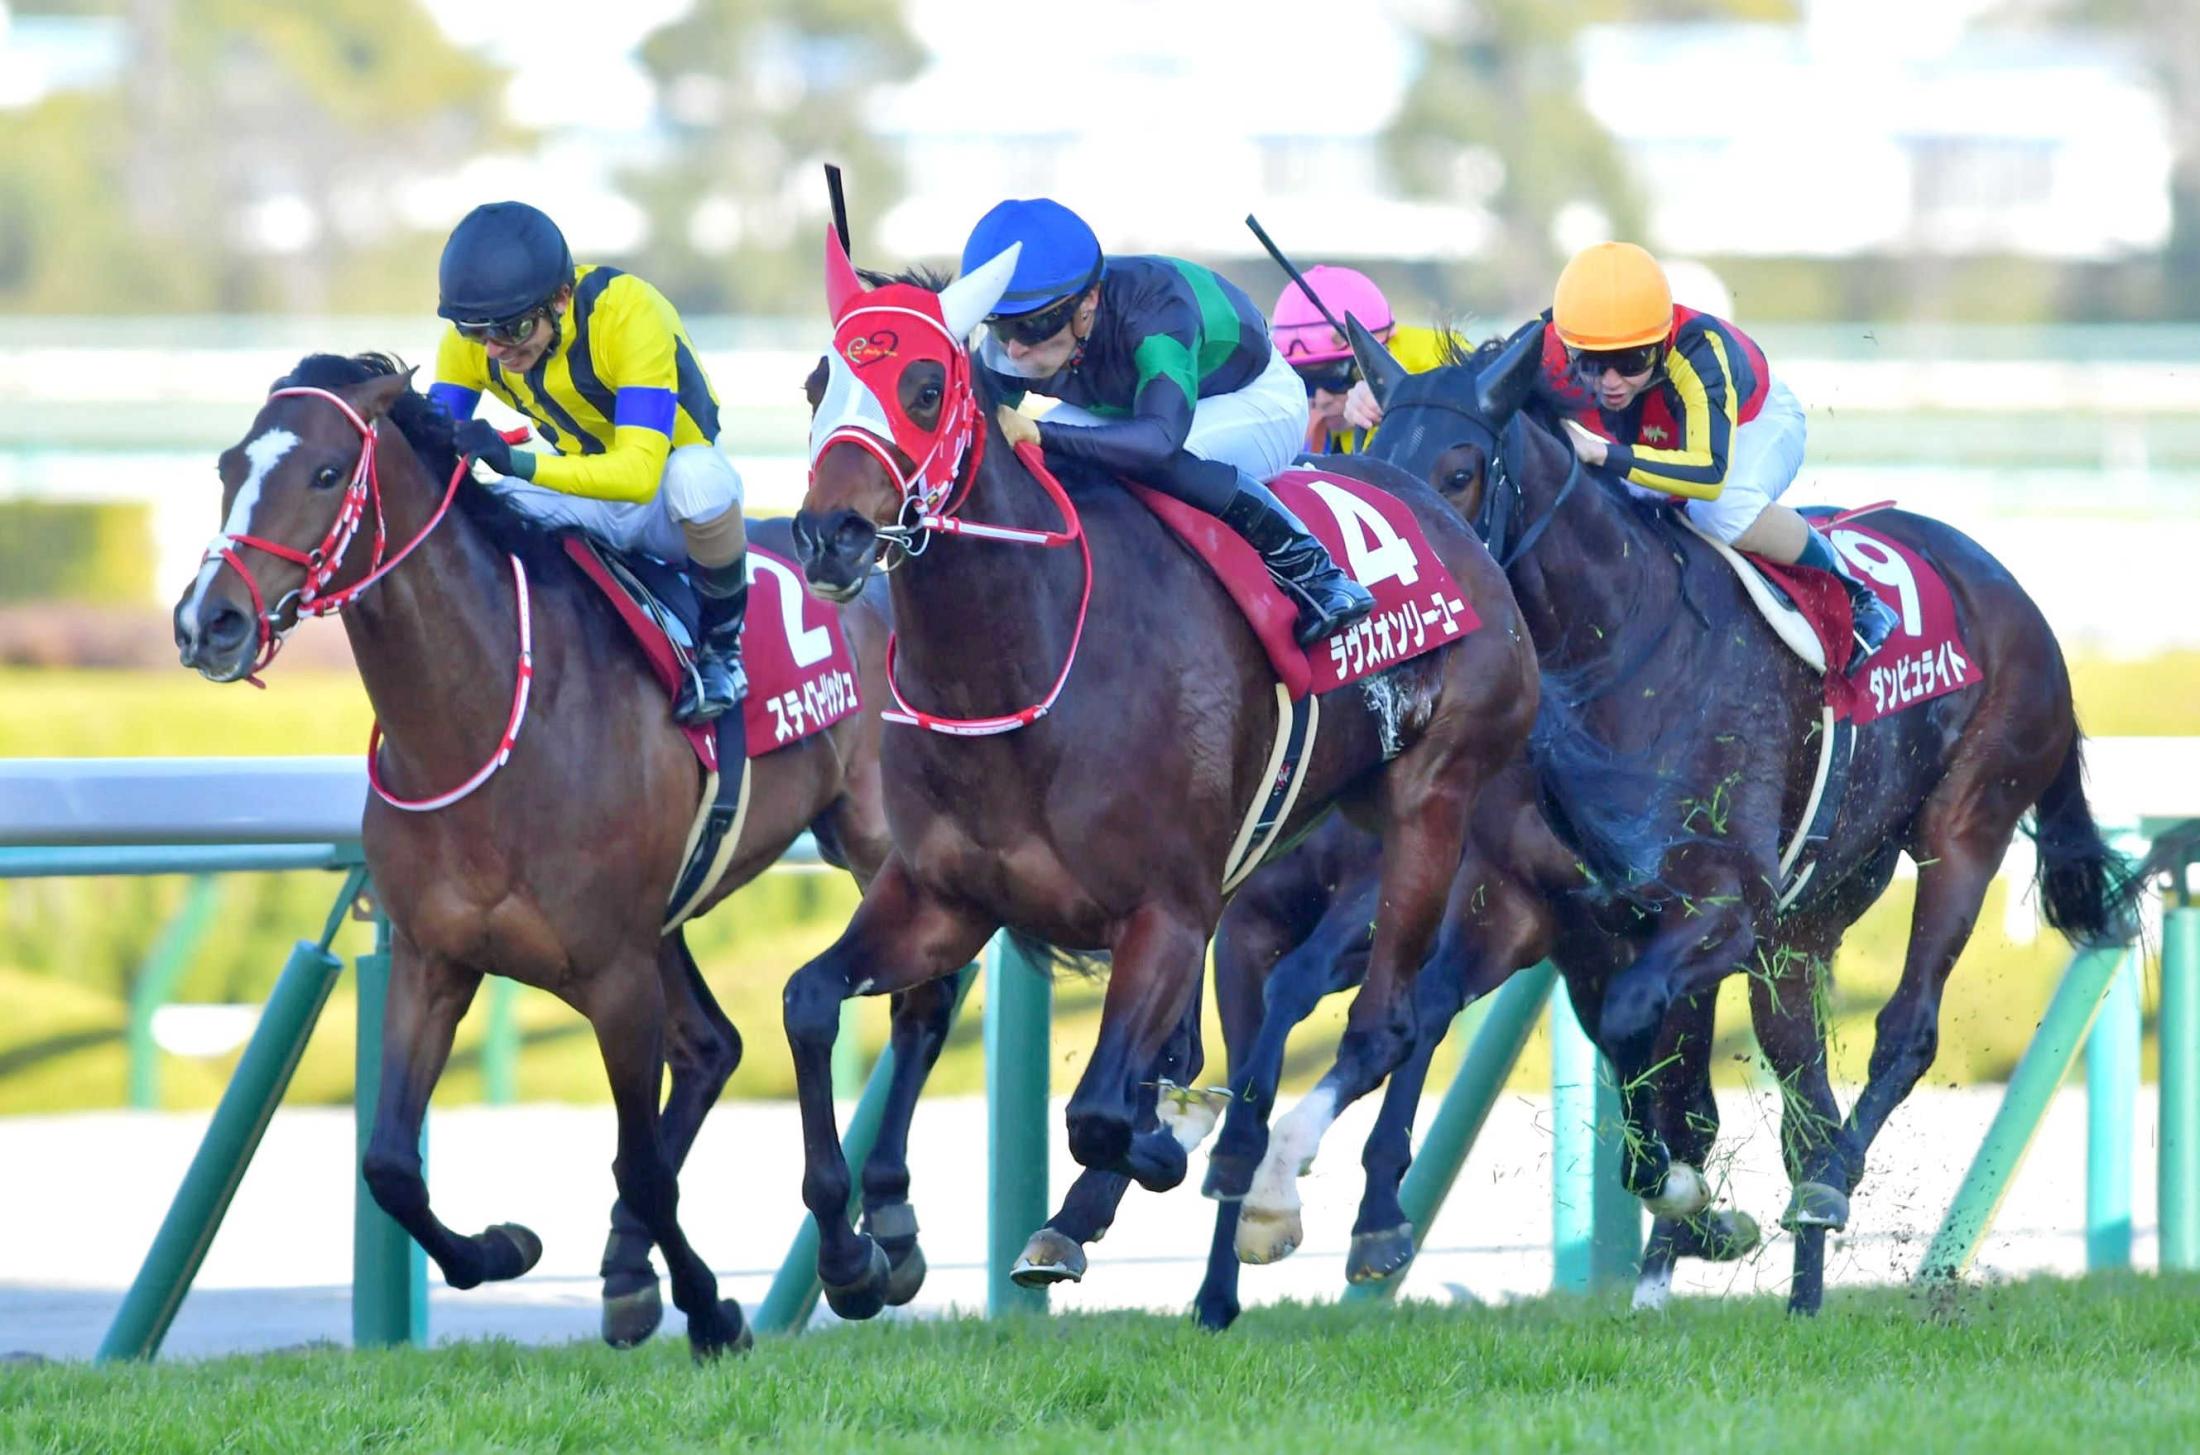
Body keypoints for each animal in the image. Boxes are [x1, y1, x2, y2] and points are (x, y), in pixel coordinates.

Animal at [171, 356, 893, 1355]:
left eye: (324, 473)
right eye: (227, 467)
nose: (210, 621)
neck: (484, 724)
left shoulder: (615, 974)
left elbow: (639, 1164)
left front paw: (714, 1308)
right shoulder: (434, 957)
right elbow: (389, 1163)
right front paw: (503, 1247)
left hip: (875, 835)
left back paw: (867, 1247)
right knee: (714, 1045)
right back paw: (632, 1268)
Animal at [783, 230, 1540, 1320]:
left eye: (925, 388)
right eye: (818, 383)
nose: (827, 535)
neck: (1024, 659)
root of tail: (1451, 523)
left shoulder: (1167, 913)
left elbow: (1105, 1108)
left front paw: (1165, 1149)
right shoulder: (941, 897)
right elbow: (811, 1002)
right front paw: (856, 1254)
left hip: (1431, 805)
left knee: (1387, 1021)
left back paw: (1312, 1203)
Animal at [1337, 323, 2129, 1311]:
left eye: (1458, 472)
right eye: (1374, 464)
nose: (1392, 617)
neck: (1612, 657)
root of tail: (2006, 584)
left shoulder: (1723, 905)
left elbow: (1644, 1041)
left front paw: (1685, 1199)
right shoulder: (1532, 904)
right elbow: (1436, 1011)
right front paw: (1379, 1216)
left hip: (1966, 825)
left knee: (1904, 1032)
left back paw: (1829, 1181)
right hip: (1806, 921)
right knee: (1804, 1080)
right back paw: (1802, 1284)